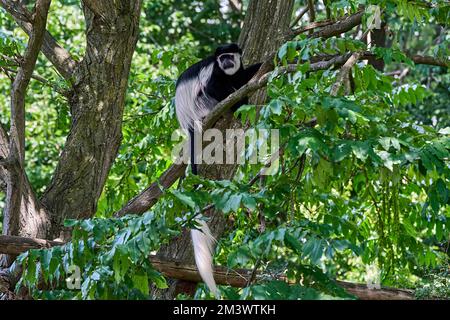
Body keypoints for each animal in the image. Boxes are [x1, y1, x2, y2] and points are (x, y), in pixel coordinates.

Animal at [174, 43, 262, 296]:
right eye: (221, 59)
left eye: (230, 56)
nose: (226, 63)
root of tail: (187, 122)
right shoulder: (214, 72)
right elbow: (214, 86)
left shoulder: (236, 70)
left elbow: (243, 75)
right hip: (202, 105)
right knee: (211, 93)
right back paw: (237, 103)